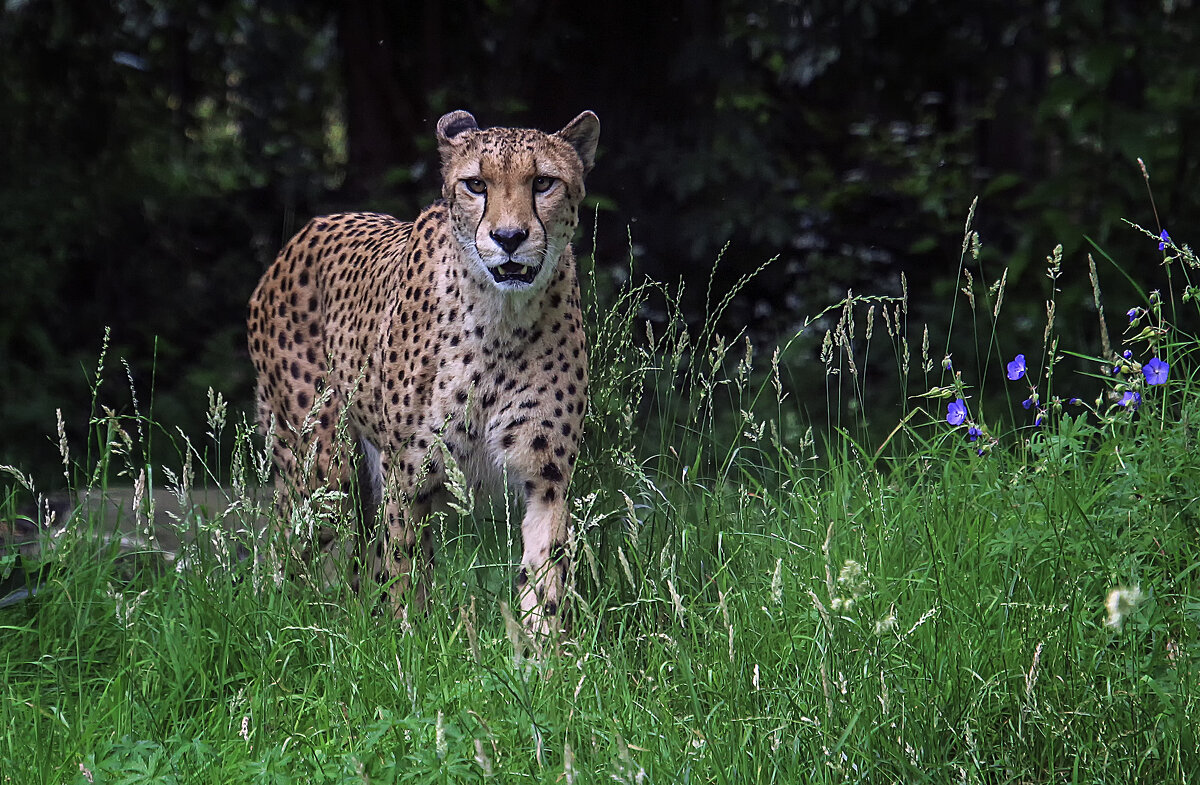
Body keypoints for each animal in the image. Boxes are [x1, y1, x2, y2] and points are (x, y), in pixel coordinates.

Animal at [247, 112, 600, 638]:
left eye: (543, 183)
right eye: (476, 184)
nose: (509, 238)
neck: (502, 319)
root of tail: (307, 229)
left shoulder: (546, 477)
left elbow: (544, 579)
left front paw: (544, 654)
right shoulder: (409, 473)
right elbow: (406, 571)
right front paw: (407, 646)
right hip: (322, 468)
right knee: (291, 546)